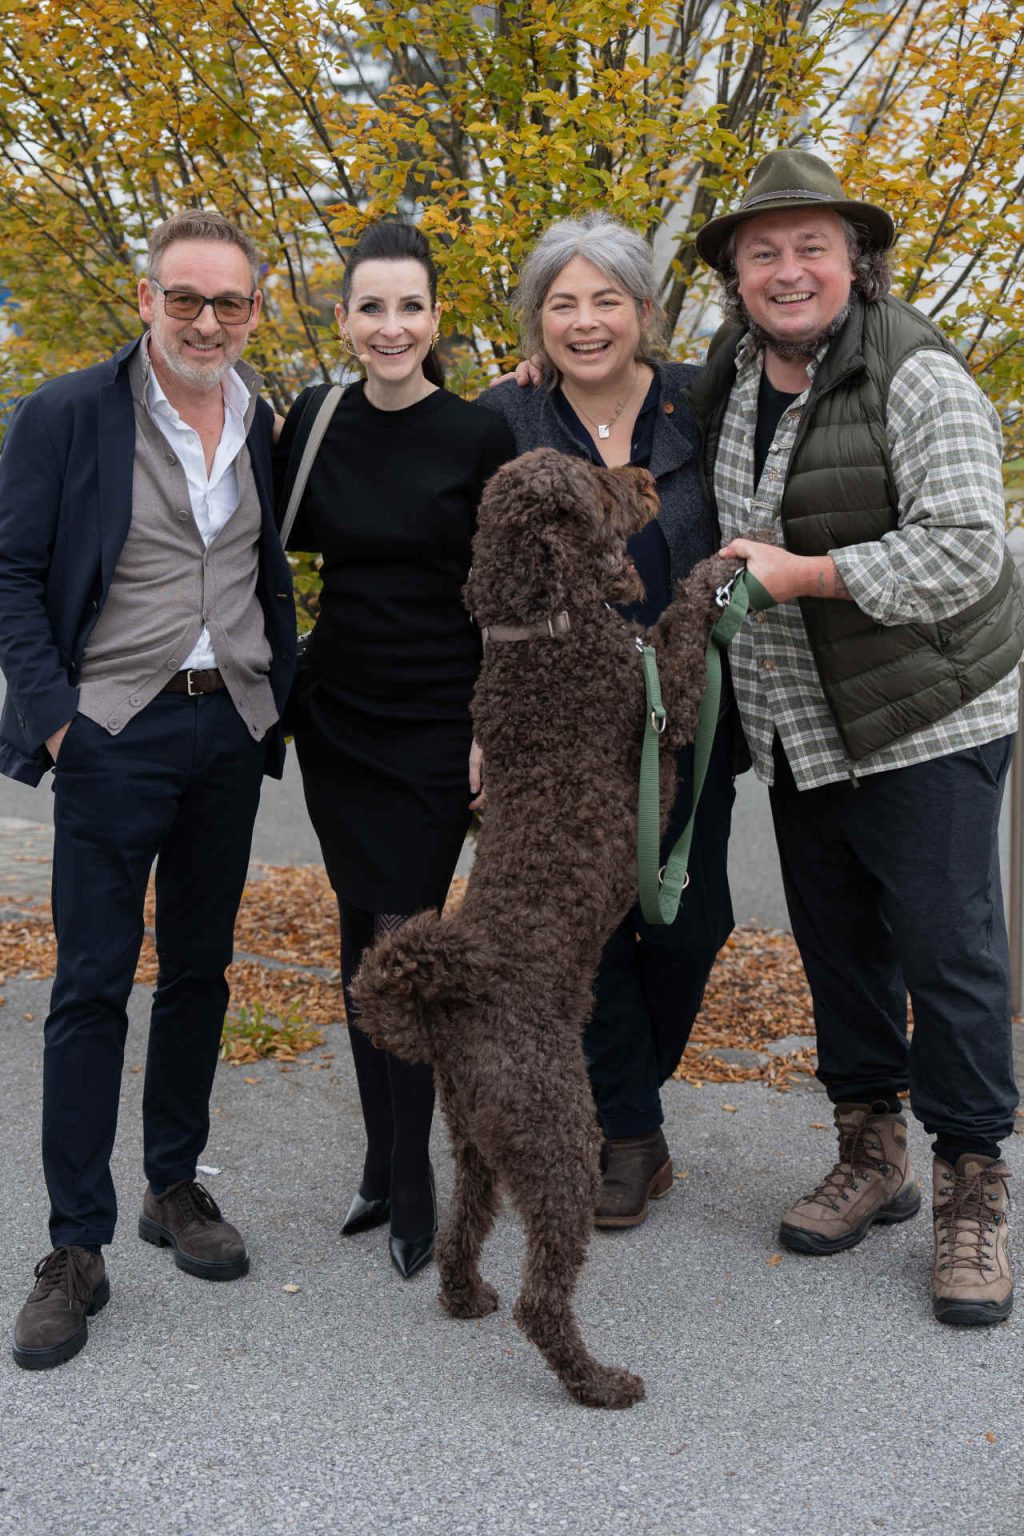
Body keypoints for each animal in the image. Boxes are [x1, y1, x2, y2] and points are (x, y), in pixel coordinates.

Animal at [354, 445, 736, 1406]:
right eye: (594, 484)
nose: (639, 471)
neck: (542, 630)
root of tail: (450, 998)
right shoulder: (666, 707)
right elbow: (678, 631)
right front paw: (716, 574)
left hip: (479, 1142)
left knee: (462, 1231)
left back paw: (464, 1296)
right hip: (557, 1134)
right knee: (544, 1296)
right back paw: (596, 1380)